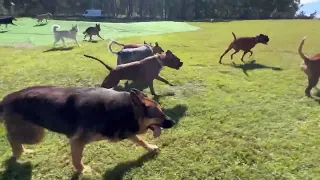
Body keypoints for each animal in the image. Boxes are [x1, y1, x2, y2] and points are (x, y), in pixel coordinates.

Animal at [0, 86, 175, 174]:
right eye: (159, 114)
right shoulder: (77, 141)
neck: (125, 110)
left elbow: (140, 140)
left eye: (163, 112)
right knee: (11, 137)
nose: (173, 122)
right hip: (36, 135)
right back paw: (19, 152)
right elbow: (77, 159)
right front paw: (83, 171)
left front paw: (150, 148)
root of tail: (6, 98)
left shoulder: (126, 131)